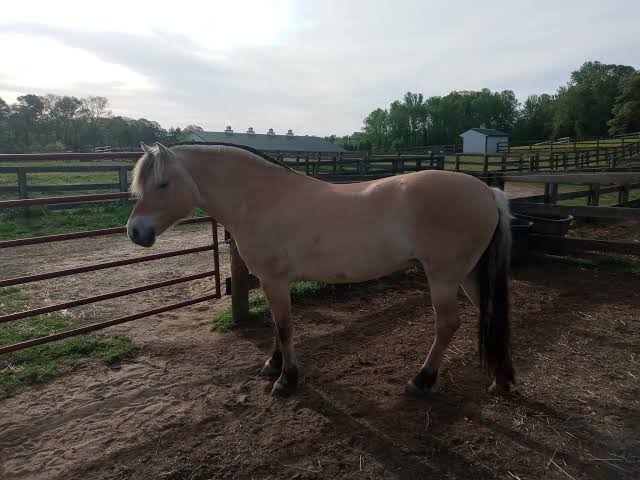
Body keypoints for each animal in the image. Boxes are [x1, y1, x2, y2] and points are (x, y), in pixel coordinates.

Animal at [127, 142, 515, 398]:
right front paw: (273, 365)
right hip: (469, 275)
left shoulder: (274, 280)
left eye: (162, 183)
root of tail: (487, 191)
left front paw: (286, 379)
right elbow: (276, 325)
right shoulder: (271, 282)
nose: (135, 232)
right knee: (491, 316)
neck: (260, 199)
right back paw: (501, 380)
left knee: (447, 325)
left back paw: (422, 380)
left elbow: (284, 327)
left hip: (444, 278)